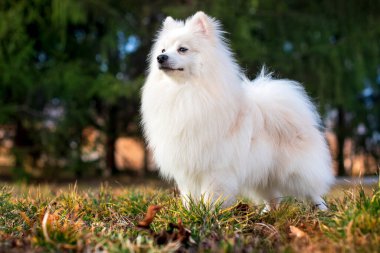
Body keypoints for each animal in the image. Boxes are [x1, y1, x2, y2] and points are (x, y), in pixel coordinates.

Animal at [141, 11, 334, 210]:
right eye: (163, 50)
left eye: (182, 49)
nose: (161, 58)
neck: (184, 91)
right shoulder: (187, 169)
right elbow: (189, 196)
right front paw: (190, 212)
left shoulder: (216, 168)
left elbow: (211, 195)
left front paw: (208, 213)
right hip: (263, 175)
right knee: (273, 198)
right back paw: (267, 213)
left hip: (294, 172)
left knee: (311, 191)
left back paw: (321, 209)